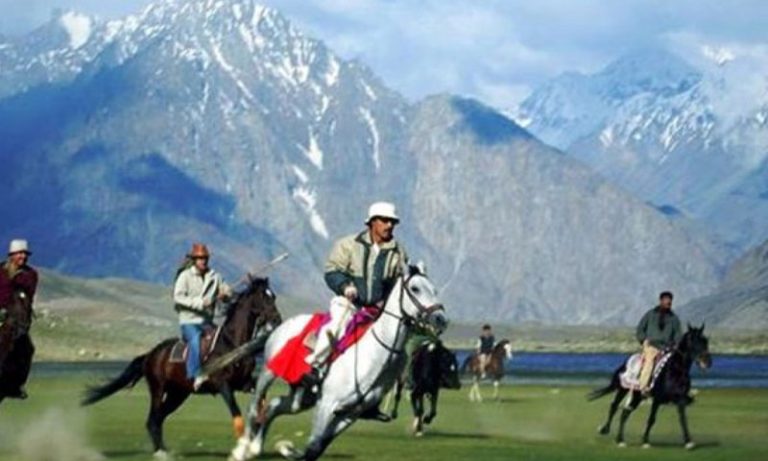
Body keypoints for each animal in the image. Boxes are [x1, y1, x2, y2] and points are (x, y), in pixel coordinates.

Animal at [79, 276, 282, 456]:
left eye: (273, 296)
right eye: (264, 297)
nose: (277, 320)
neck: (231, 344)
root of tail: (150, 355)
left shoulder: (245, 383)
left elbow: (261, 399)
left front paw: (259, 427)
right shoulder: (223, 385)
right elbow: (236, 414)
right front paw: (243, 446)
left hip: (177, 394)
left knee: (159, 419)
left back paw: (164, 449)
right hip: (159, 389)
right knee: (152, 420)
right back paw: (160, 452)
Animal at [225, 264, 448, 460]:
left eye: (434, 290)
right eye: (415, 288)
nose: (440, 319)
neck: (374, 356)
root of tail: (280, 326)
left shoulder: (349, 413)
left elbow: (315, 448)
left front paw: (287, 449)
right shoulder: (326, 404)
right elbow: (313, 444)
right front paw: (286, 449)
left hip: (303, 396)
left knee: (274, 406)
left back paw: (256, 448)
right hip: (268, 373)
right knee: (254, 408)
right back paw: (241, 450)